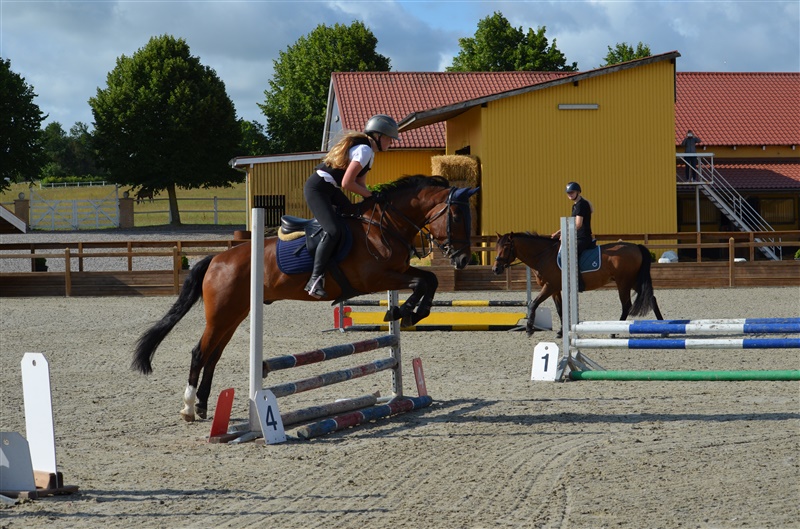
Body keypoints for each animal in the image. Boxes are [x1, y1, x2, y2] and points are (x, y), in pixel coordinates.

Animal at [133, 175, 479, 421]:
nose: (463, 259)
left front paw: (409, 313)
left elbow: (430, 280)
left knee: (213, 355)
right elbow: (423, 281)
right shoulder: (376, 278)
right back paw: (189, 408)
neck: (383, 225)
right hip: (221, 314)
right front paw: (402, 312)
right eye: (456, 217)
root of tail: (217, 258)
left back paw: (205, 406)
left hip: (234, 314)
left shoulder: (398, 271)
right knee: (199, 353)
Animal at [492, 231, 664, 337]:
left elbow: (534, 304)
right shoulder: (555, 289)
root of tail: (636, 246)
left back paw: (614, 332)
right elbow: (560, 310)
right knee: (652, 298)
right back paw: (663, 329)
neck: (544, 255)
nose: (495, 269)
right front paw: (561, 332)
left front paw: (529, 329)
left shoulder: (549, 286)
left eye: (506, 247)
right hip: (633, 281)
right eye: (496, 247)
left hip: (624, 283)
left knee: (627, 305)